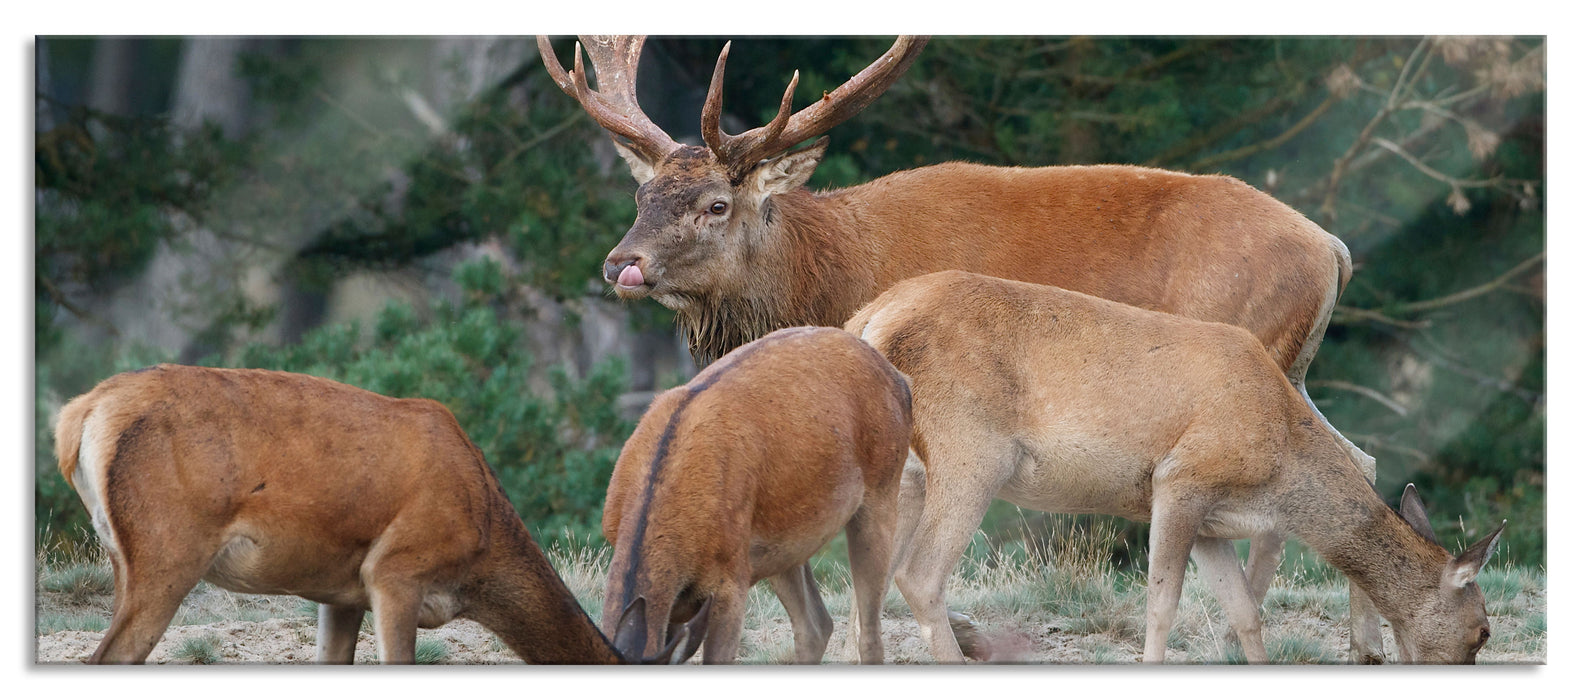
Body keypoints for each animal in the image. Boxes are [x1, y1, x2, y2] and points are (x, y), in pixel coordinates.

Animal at [597, 324, 911, 665]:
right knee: (815, 626)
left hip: (882, 489)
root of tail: (901, 381)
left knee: (868, 634)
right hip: (782, 542)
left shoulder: (731, 580)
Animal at [847, 270, 1499, 665]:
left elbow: (1246, 613)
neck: (1277, 469)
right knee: (918, 575)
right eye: (1481, 631)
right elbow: (1162, 605)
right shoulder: (1180, 479)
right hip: (971, 450)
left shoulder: (1213, 524)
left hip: (909, 473)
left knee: (872, 580)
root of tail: (868, 318)